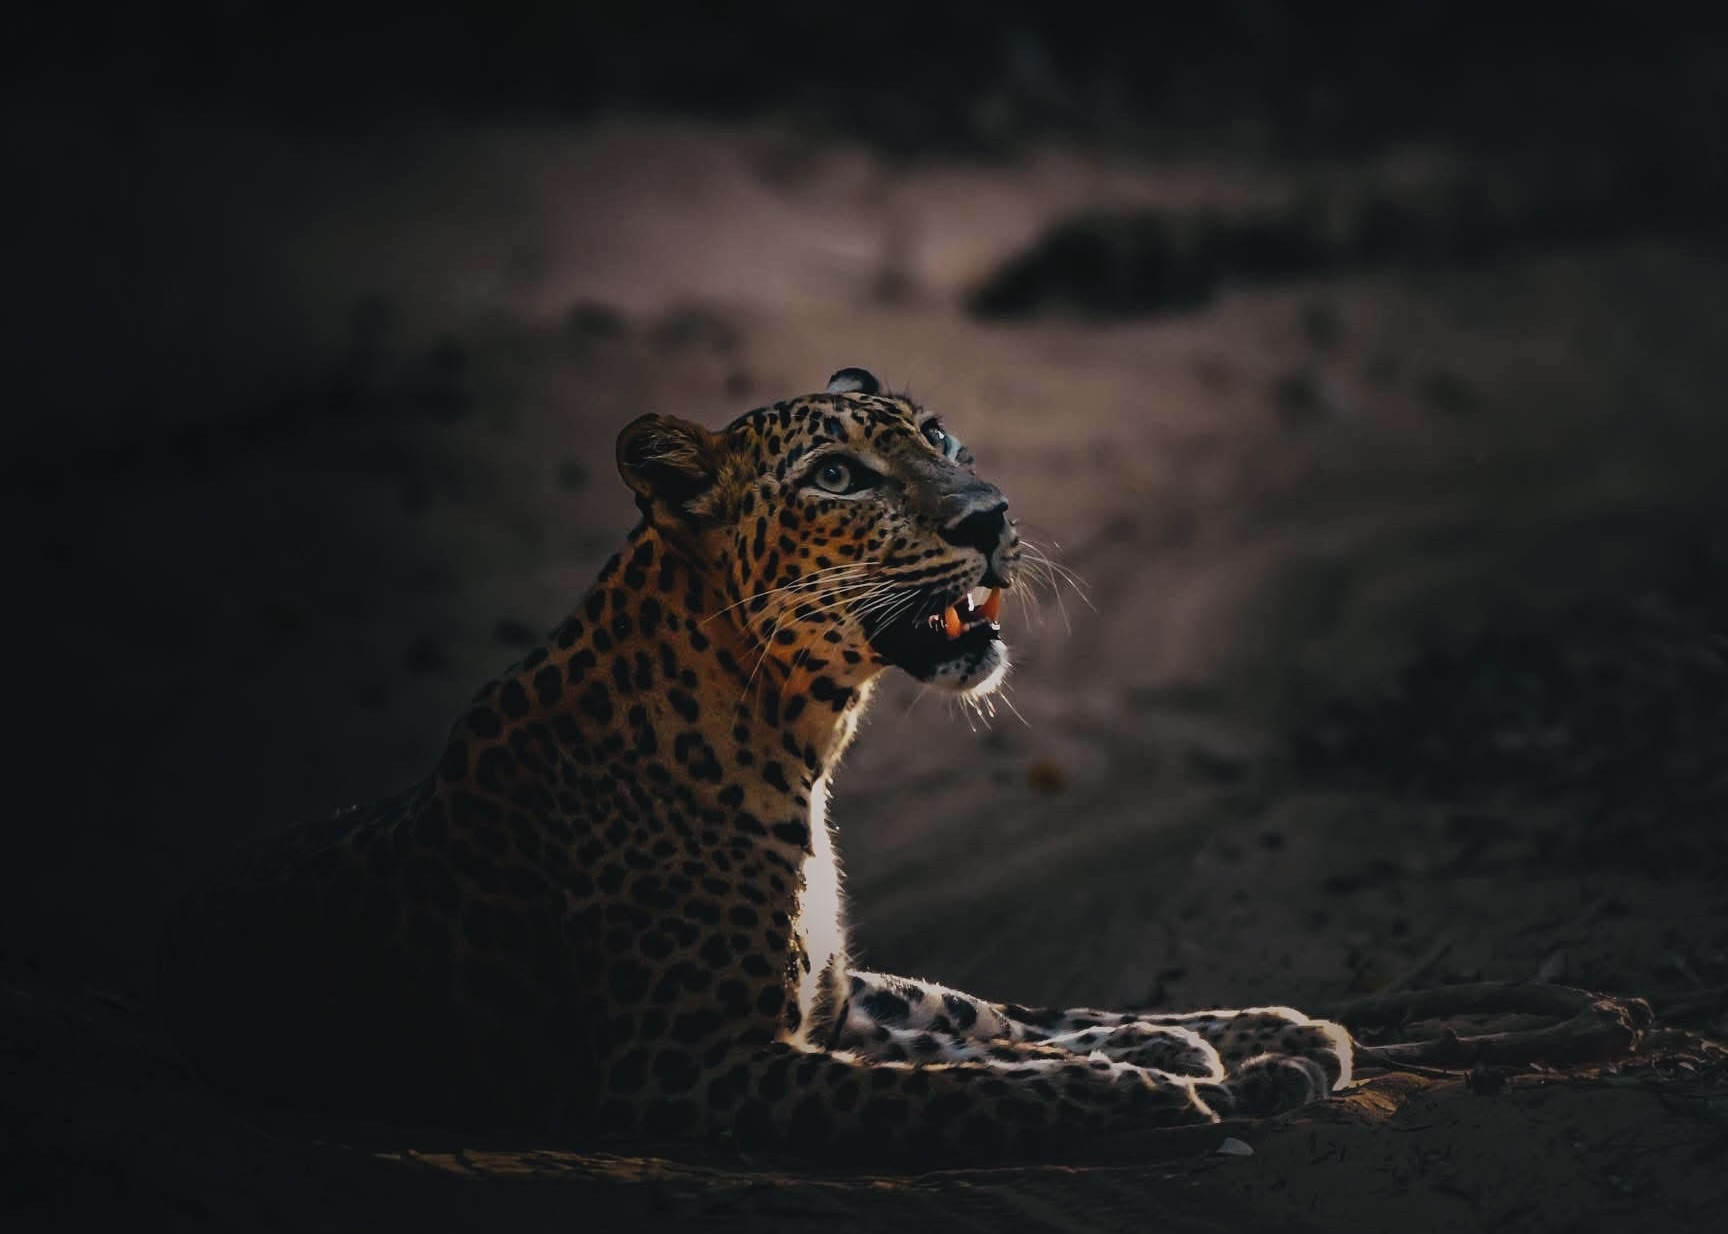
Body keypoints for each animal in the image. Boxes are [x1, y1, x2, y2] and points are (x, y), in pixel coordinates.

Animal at [157, 366, 1352, 1162]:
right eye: (838, 476)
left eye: (943, 437)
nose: (991, 514)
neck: (801, 737)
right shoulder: (693, 1063)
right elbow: (954, 1091)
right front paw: (1163, 1092)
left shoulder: (828, 1000)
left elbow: (989, 1025)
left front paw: (1245, 1047)